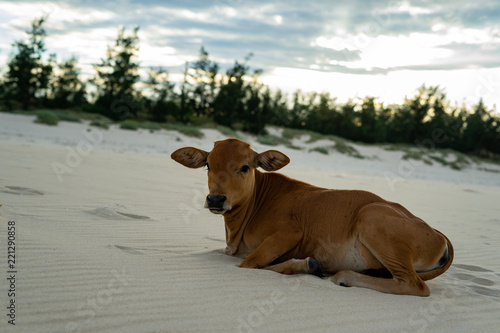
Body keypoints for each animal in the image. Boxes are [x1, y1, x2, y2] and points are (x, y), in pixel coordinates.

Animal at [171, 137, 454, 296]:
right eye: (208, 165)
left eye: (245, 167)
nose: (216, 199)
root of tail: (438, 234)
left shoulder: (289, 234)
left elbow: (250, 264)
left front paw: (306, 264)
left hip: (372, 218)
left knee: (415, 285)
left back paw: (342, 277)